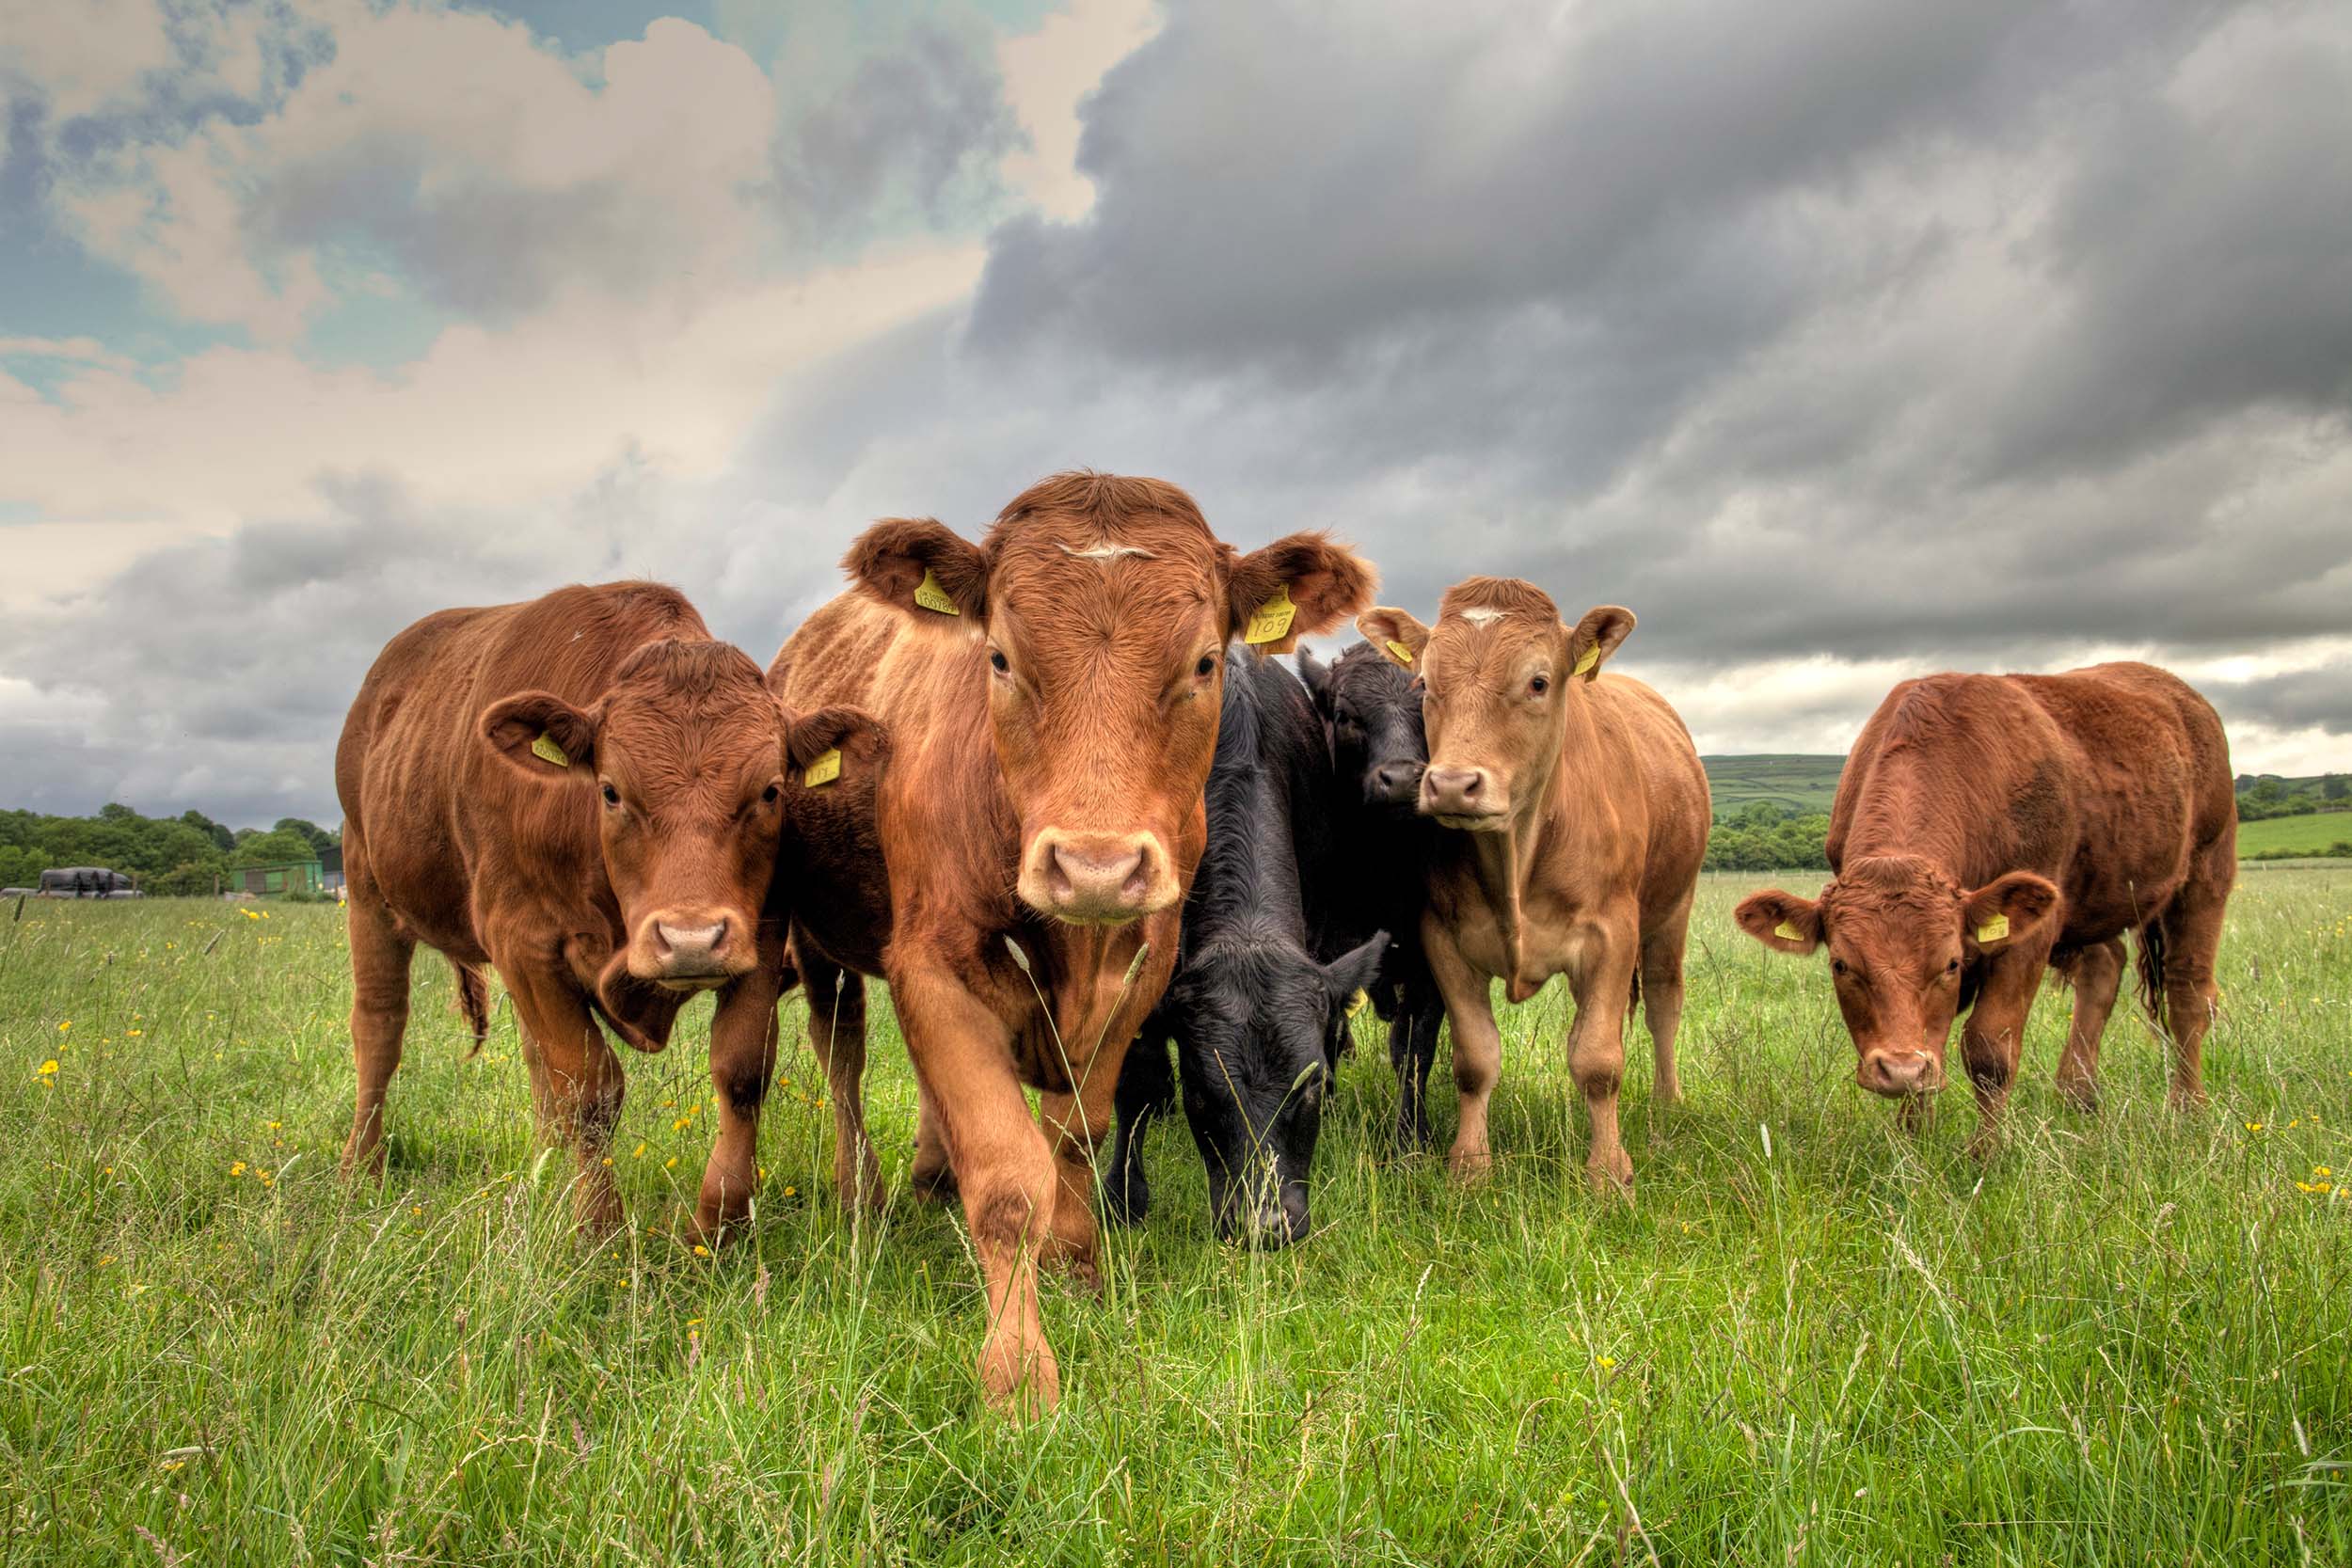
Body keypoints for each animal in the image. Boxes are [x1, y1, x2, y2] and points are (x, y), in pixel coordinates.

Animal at [335, 581, 878, 1237]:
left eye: (771, 791)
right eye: (611, 791)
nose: (690, 940)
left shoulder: (761, 934)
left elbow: (741, 1071)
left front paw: (719, 1227)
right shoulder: (524, 940)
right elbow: (589, 1092)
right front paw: (599, 1230)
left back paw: (544, 1169)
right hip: (366, 886)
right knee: (379, 1027)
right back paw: (360, 1167)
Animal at [1298, 635, 1450, 1153]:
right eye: (1346, 714)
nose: (1401, 780)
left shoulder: (1430, 964)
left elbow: (1414, 1050)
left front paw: (1412, 1139)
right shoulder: (1320, 947)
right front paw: (1321, 1111)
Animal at [1364, 579, 1709, 1194]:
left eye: (1538, 682)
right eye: (1425, 683)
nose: (1452, 783)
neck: (1517, 855)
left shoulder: (1612, 935)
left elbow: (1598, 1061)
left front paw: (1609, 1172)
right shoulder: (1444, 940)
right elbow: (1475, 1059)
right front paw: (1469, 1167)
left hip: (1673, 910)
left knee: (1663, 1005)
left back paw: (1666, 1106)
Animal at [1732, 662, 2235, 1146]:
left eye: (1951, 963)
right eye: (1840, 964)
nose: (1899, 1069)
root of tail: (2180, 693)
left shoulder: (2028, 937)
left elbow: (1988, 1048)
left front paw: (1985, 1155)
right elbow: (1930, 1044)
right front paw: (1914, 1144)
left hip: (2207, 870)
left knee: (2188, 992)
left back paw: (2187, 1109)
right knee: (2104, 966)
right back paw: (2078, 1095)